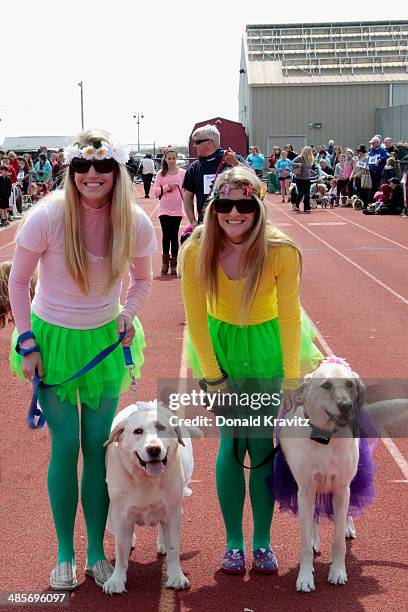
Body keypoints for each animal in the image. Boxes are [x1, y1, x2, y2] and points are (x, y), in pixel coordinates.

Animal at [102, 400, 202, 596]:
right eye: (138, 431)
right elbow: (121, 552)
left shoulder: (173, 512)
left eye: (162, 428)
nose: (154, 449)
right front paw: (116, 580)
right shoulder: (120, 514)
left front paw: (176, 576)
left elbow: (174, 548)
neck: (145, 479)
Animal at [280, 360, 366, 592]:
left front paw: (338, 572)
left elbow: (338, 542)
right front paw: (304, 578)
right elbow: (304, 542)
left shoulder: (342, 489)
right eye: (326, 385)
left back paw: (348, 527)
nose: (346, 406)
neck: (326, 439)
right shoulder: (305, 490)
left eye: (349, 384)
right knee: (313, 516)